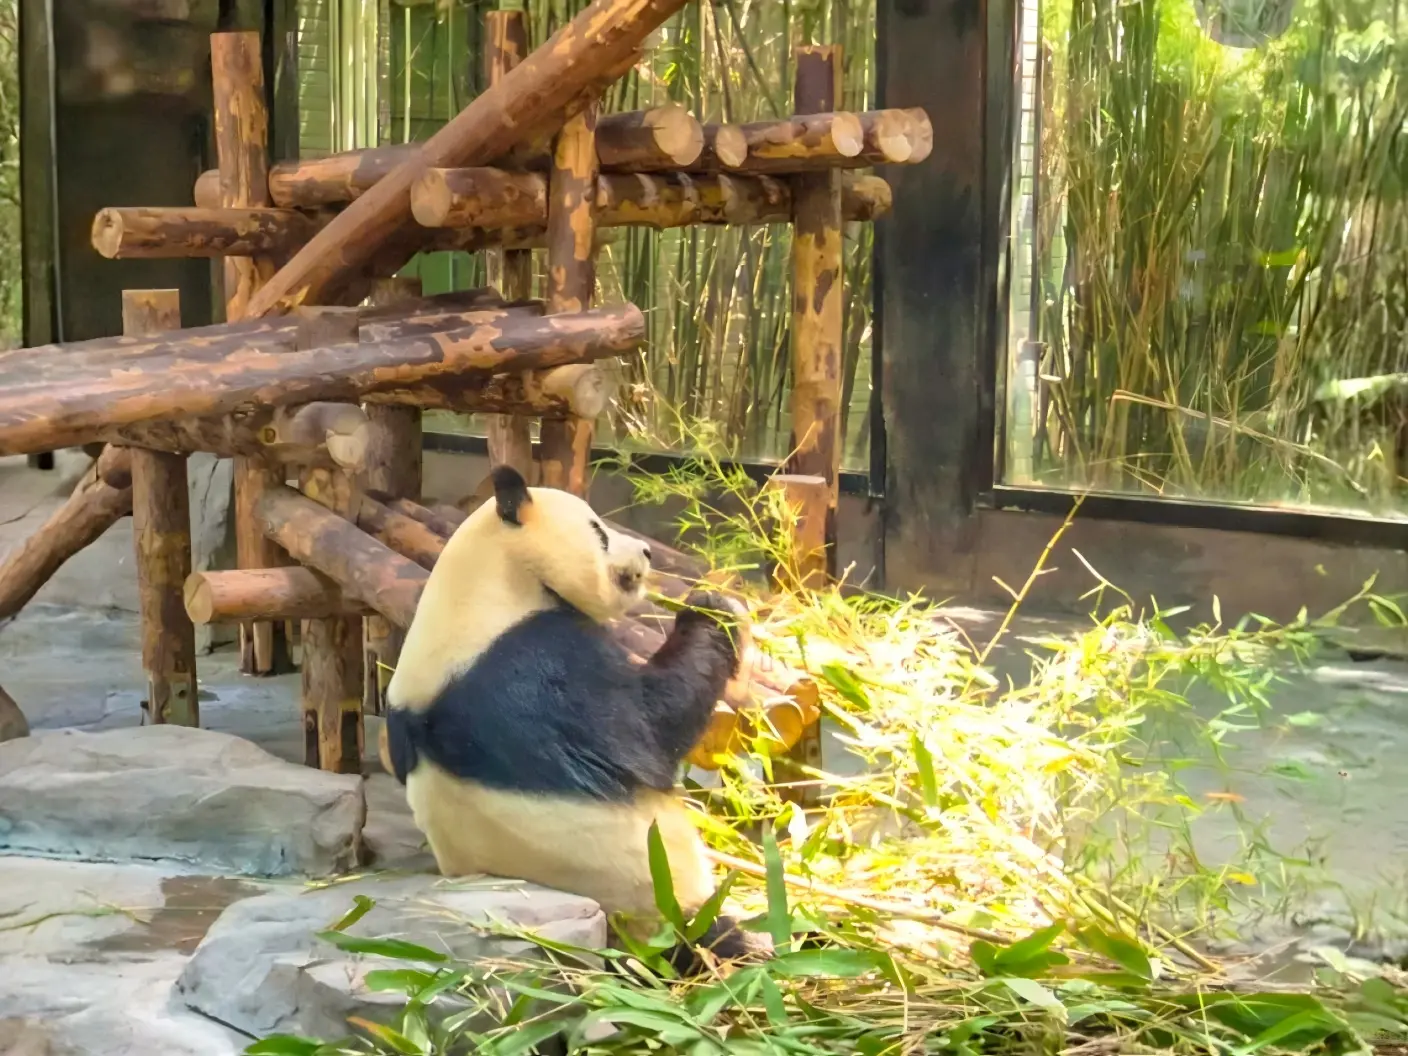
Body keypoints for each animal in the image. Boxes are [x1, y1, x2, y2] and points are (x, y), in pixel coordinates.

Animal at [381, 464, 765, 969]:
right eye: (598, 531)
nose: (645, 551)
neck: (488, 583)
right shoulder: (532, 664)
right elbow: (648, 728)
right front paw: (714, 608)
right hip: (660, 905)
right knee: (711, 933)